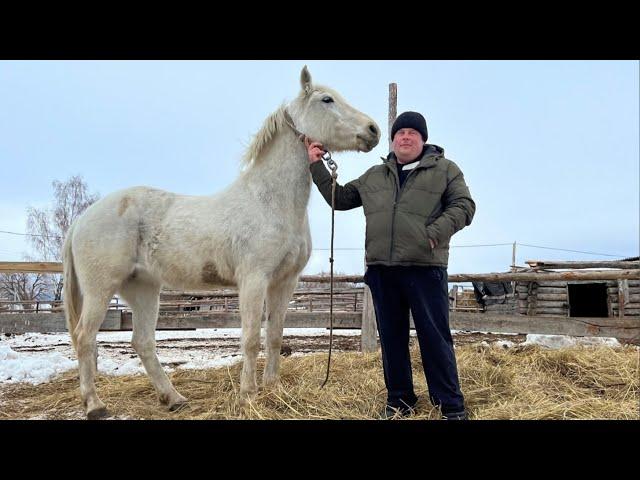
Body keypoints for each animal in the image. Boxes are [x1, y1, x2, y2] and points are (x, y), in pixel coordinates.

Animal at [63, 65, 380, 418]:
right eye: (326, 99)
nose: (373, 130)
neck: (271, 202)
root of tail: (81, 220)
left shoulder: (284, 282)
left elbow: (274, 336)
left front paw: (273, 388)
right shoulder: (254, 280)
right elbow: (251, 338)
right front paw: (248, 394)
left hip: (143, 287)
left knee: (142, 342)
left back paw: (173, 398)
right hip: (100, 289)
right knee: (85, 337)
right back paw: (95, 404)